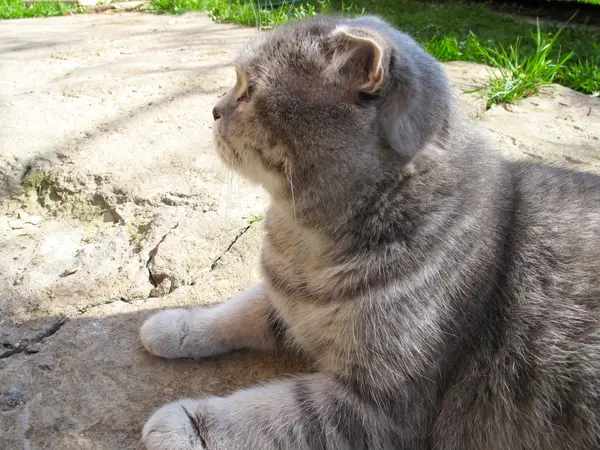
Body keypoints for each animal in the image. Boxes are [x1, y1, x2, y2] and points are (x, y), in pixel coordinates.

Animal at [137, 14, 600, 450]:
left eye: (249, 90)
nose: (214, 109)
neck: (301, 239)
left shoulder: (376, 408)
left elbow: (272, 416)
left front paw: (185, 424)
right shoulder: (288, 301)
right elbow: (240, 308)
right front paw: (175, 326)